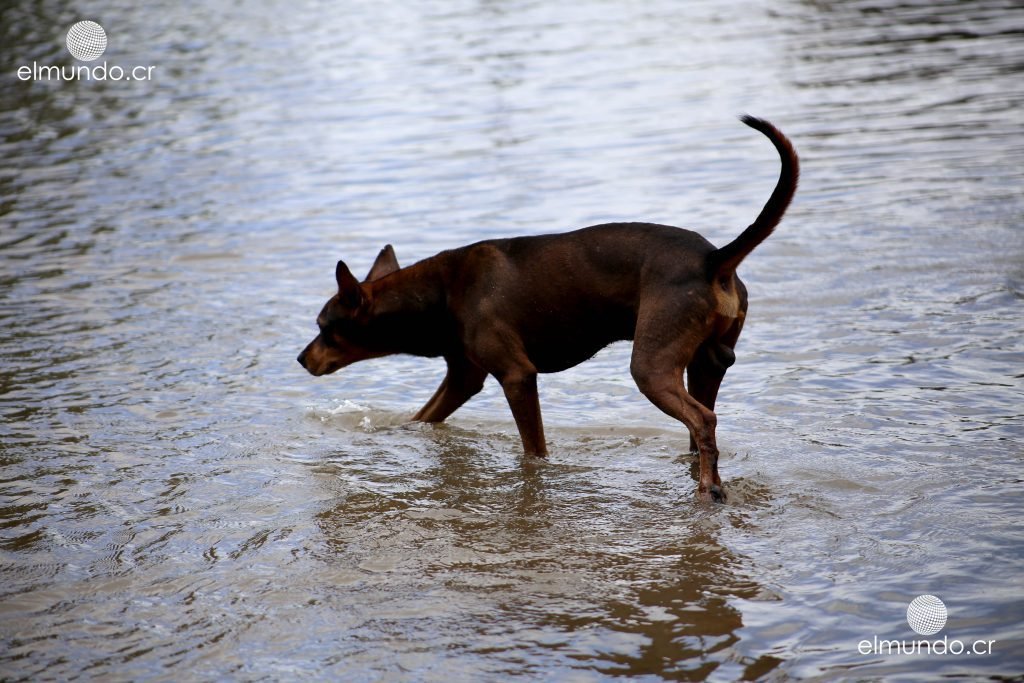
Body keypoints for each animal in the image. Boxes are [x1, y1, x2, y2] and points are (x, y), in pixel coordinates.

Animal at [299, 116, 798, 501]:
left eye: (324, 326)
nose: (302, 358)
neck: (439, 292)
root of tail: (713, 259)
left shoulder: (517, 375)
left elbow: (533, 449)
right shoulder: (464, 375)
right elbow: (422, 416)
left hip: (651, 366)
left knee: (702, 419)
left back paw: (708, 489)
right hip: (705, 363)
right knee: (701, 428)